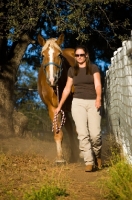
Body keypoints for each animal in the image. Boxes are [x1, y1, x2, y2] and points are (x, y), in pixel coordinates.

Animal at [37, 33, 79, 163]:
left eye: (59, 55)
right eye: (43, 55)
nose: (52, 79)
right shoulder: (52, 108)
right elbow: (58, 133)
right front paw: (60, 158)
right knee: (69, 128)